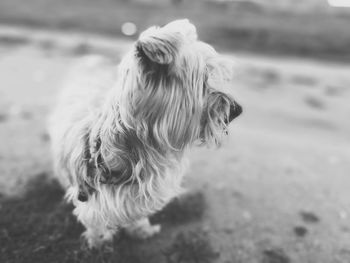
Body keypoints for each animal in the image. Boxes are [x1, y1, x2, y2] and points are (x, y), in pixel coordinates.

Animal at [48, 19, 241, 250]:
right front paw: (98, 243)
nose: (237, 109)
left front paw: (140, 229)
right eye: (203, 82)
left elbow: (137, 212)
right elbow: (95, 222)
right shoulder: (91, 197)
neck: (142, 147)